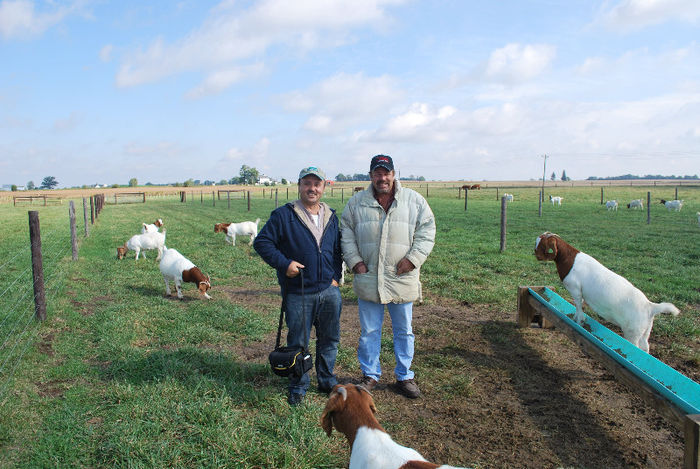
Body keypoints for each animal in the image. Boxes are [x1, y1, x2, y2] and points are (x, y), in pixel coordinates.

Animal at [536, 230, 680, 352]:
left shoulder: (575, 289)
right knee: (645, 347)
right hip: (645, 330)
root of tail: (650, 306)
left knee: (636, 348)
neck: (570, 261)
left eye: (541, 244)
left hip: (633, 332)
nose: (535, 254)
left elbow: (578, 306)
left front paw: (578, 321)